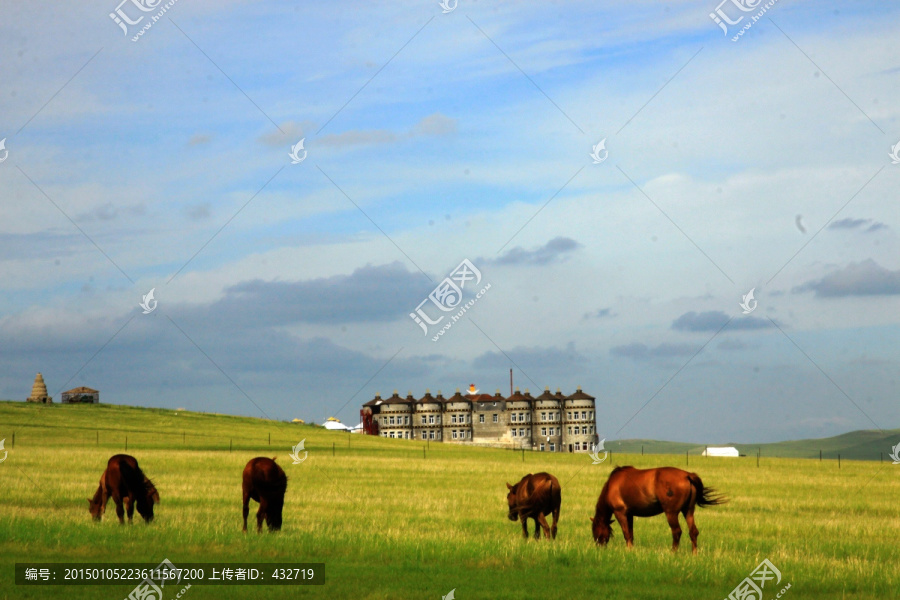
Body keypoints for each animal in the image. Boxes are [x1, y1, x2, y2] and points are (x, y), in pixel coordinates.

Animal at [592, 464, 724, 552]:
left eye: (595, 531)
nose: (599, 547)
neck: (612, 485)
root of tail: (688, 476)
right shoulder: (629, 514)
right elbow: (631, 533)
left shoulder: (620, 513)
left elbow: (626, 534)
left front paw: (628, 550)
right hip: (688, 511)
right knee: (693, 532)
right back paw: (694, 554)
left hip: (671, 513)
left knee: (677, 532)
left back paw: (673, 552)